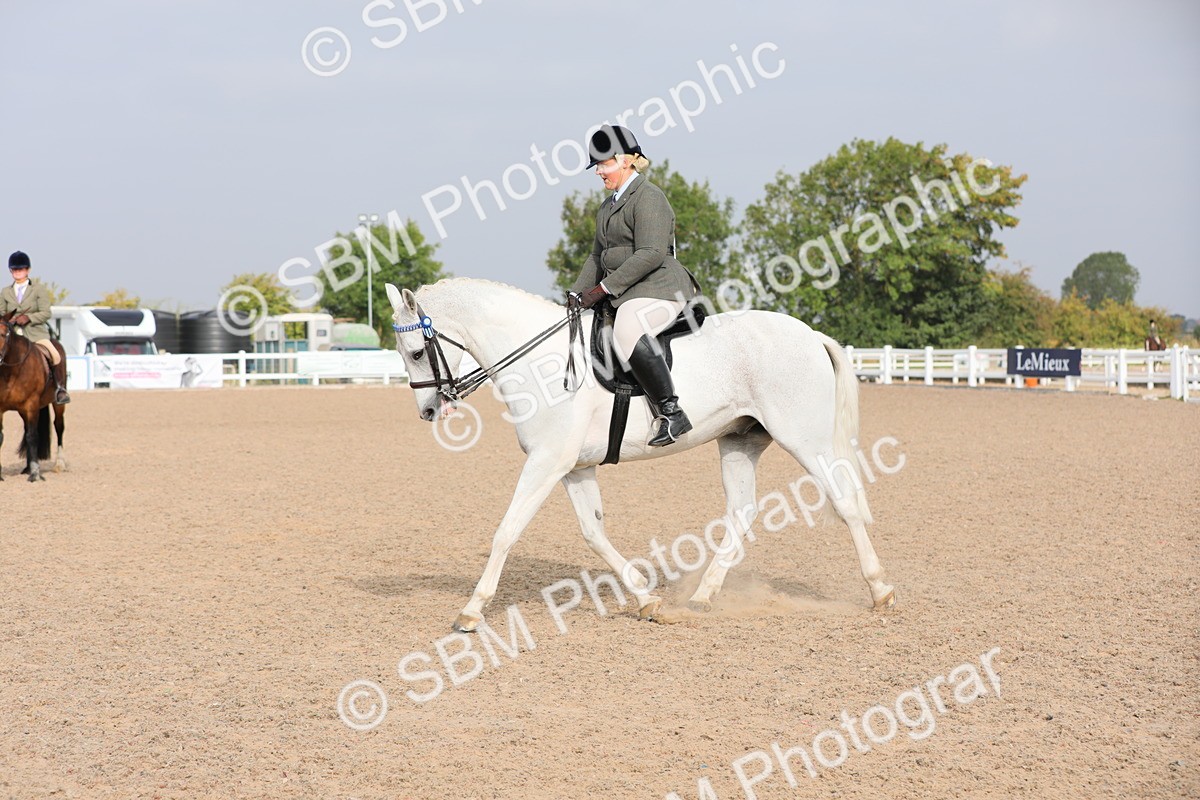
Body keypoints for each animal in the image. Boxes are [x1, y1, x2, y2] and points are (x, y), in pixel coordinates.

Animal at [0, 316, 67, 482]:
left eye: (3, 334)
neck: (10, 371)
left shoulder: (31, 405)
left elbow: (32, 436)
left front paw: (35, 474)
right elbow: (1, 437)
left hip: (57, 404)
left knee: (58, 427)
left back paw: (59, 464)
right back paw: (27, 467)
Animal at [385, 279, 893, 632]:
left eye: (415, 352)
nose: (428, 410)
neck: (539, 361)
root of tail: (810, 334)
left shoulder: (547, 463)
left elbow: (506, 532)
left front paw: (471, 611)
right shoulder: (574, 468)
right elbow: (594, 534)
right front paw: (648, 601)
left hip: (804, 438)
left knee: (845, 503)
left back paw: (881, 590)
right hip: (740, 441)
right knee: (742, 512)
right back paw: (703, 596)